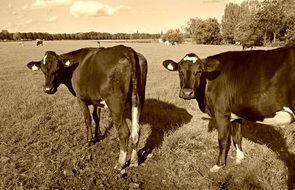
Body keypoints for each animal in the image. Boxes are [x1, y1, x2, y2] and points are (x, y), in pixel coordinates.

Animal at [163, 45, 295, 173]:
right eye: (180, 70)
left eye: (200, 71)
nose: (187, 93)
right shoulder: (235, 114)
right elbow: (237, 137)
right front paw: (239, 159)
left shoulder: (221, 112)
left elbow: (223, 140)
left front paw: (219, 165)